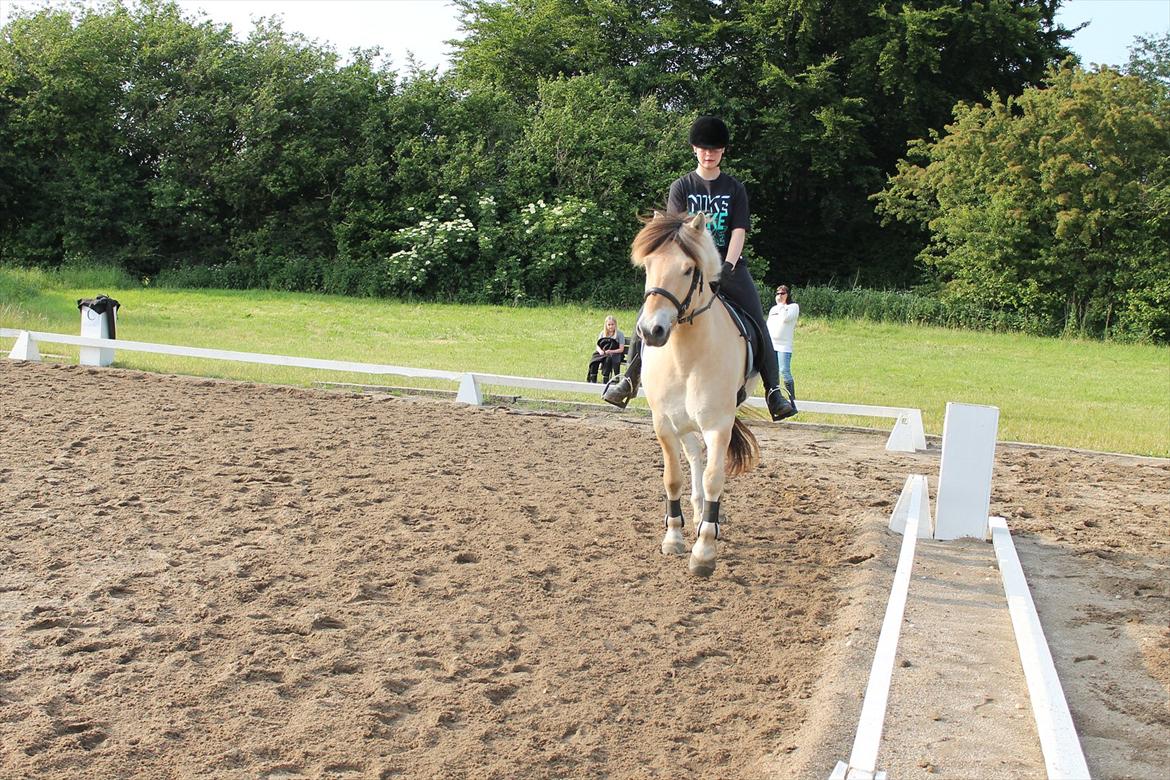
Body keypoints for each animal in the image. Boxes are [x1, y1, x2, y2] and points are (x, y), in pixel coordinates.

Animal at [631, 210, 758, 577]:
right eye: (648, 266)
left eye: (688, 269)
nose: (652, 331)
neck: (685, 356)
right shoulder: (663, 423)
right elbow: (673, 478)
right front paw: (674, 536)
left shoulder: (718, 424)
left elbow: (716, 477)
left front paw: (704, 551)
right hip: (683, 422)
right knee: (693, 455)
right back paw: (699, 510)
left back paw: (710, 519)